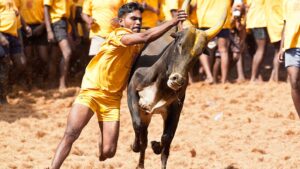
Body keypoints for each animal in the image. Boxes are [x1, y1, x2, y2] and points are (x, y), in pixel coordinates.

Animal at [126, 0, 230, 168]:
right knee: (143, 133)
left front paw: (157, 146)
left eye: (199, 53)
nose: (177, 80)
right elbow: (138, 126)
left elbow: (166, 139)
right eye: (180, 44)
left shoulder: (176, 107)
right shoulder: (133, 95)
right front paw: (135, 146)